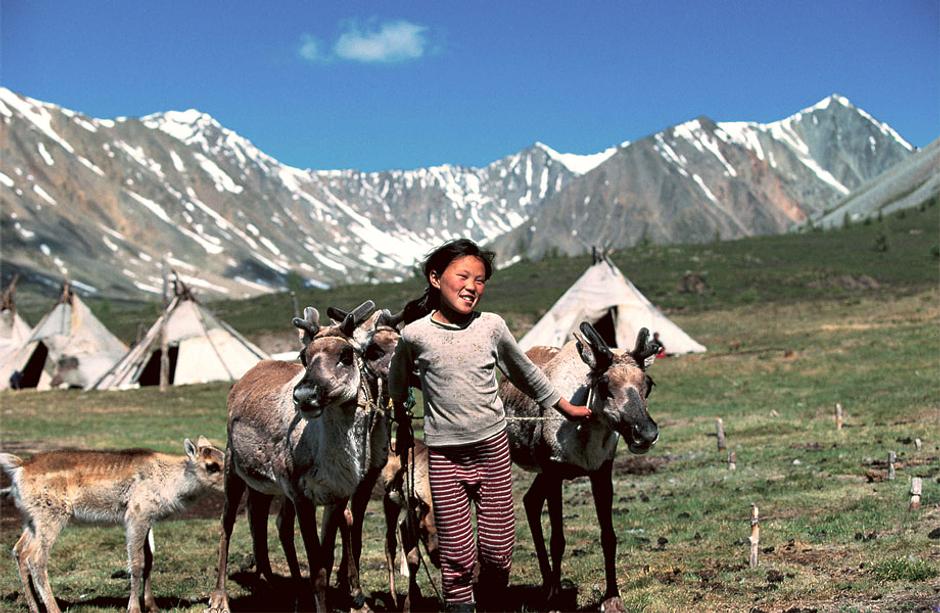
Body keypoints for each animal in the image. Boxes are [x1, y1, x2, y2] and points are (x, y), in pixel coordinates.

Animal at [0, 438, 224, 612]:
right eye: (211, 465)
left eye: (224, 455)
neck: (170, 482)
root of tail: (20, 467)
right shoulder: (136, 516)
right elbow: (136, 563)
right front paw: (134, 608)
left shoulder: (149, 519)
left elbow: (150, 560)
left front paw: (152, 606)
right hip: (51, 517)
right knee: (36, 559)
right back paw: (54, 609)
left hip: (31, 520)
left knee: (19, 551)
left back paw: (34, 608)